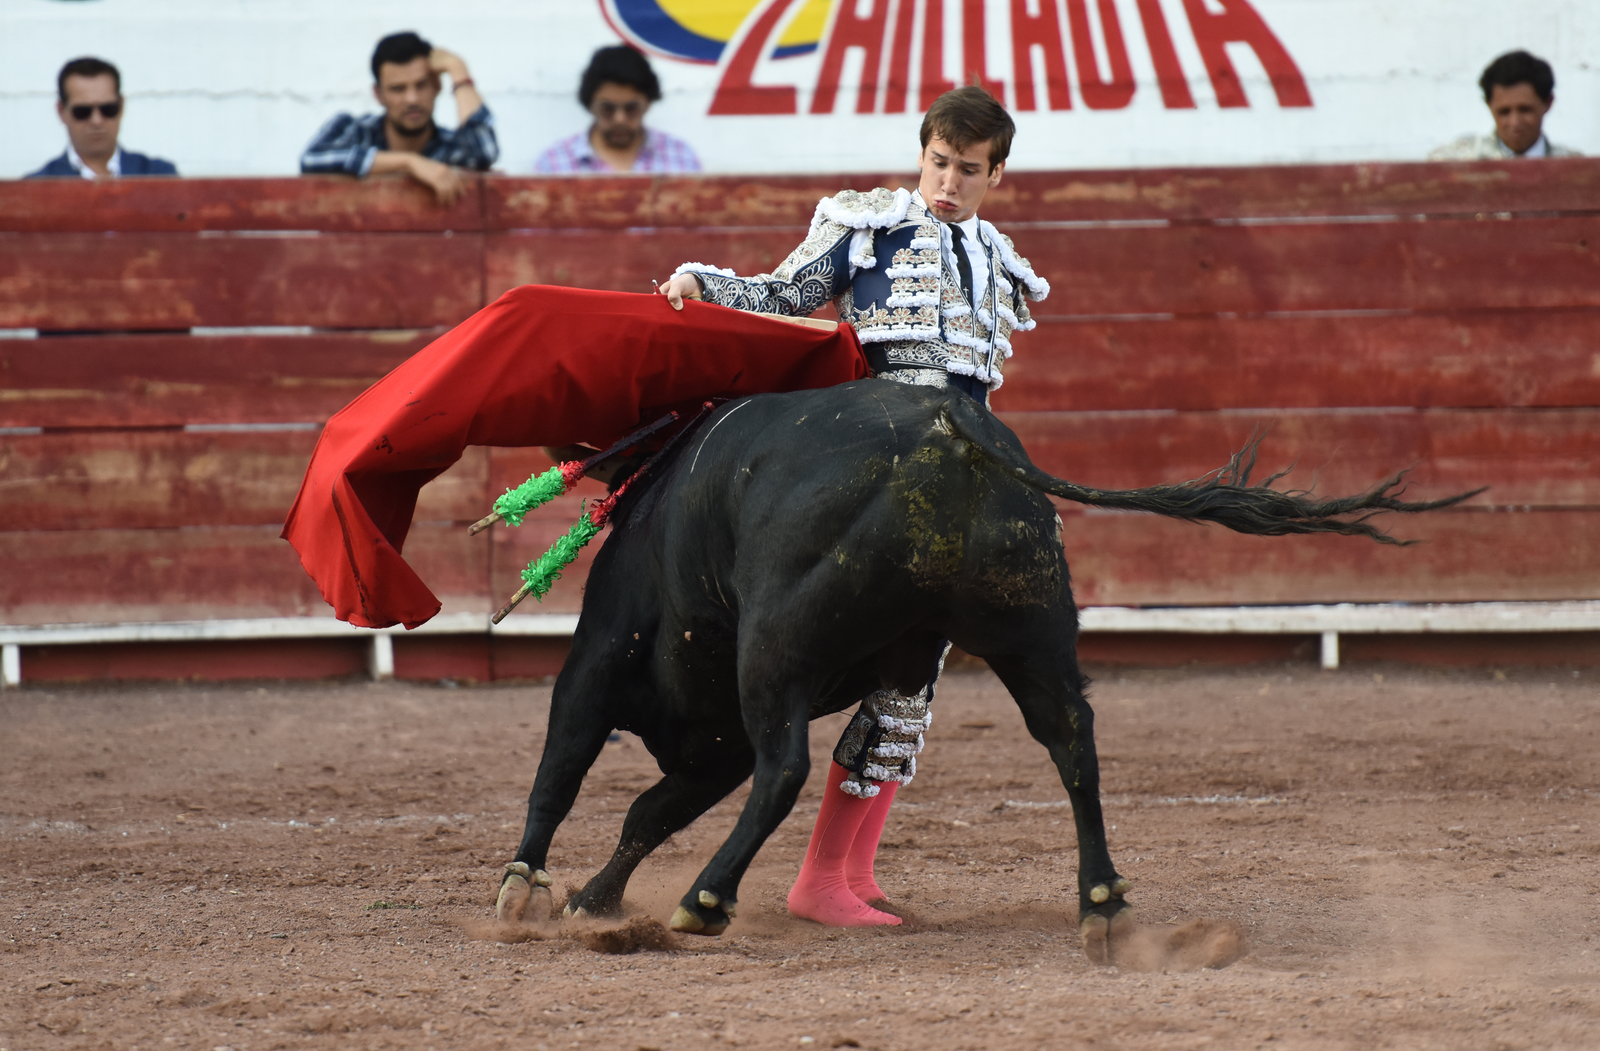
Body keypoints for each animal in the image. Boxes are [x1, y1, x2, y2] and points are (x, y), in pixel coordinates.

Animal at [489, 379, 1472, 959]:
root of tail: (951, 427)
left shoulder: (604, 664)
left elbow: (566, 772)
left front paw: (527, 887)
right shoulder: (710, 739)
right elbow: (646, 811)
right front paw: (591, 898)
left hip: (775, 645)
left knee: (787, 768)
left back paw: (705, 899)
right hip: (1027, 627)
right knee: (1072, 740)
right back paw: (1102, 902)